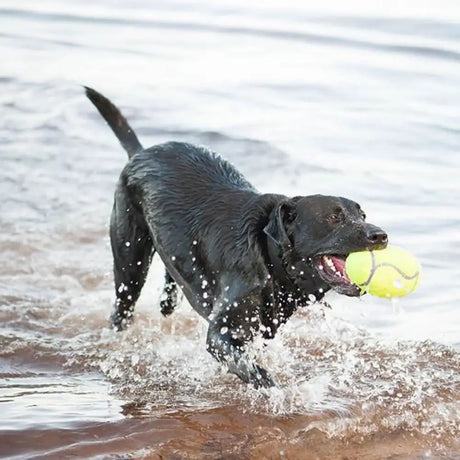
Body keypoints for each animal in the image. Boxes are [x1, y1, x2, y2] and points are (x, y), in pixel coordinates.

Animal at [84, 87, 386, 388]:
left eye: (361, 214)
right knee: (122, 306)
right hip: (130, 261)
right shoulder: (221, 334)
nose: (381, 235)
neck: (269, 258)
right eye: (334, 217)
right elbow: (257, 372)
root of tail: (141, 152)